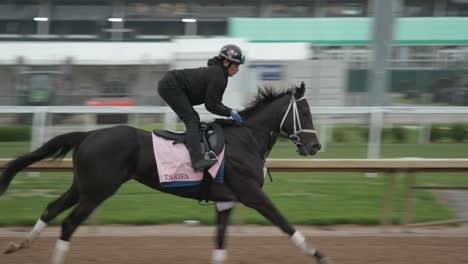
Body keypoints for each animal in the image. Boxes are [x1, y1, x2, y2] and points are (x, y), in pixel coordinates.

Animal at [0, 82, 330, 264]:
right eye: (306, 112)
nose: (315, 145)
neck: (245, 140)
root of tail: (89, 134)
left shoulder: (226, 201)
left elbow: (220, 242)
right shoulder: (251, 193)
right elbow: (285, 223)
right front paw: (319, 254)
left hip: (83, 186)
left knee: (51, 208)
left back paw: (21, 244)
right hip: (98, 191)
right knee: (68, 223)